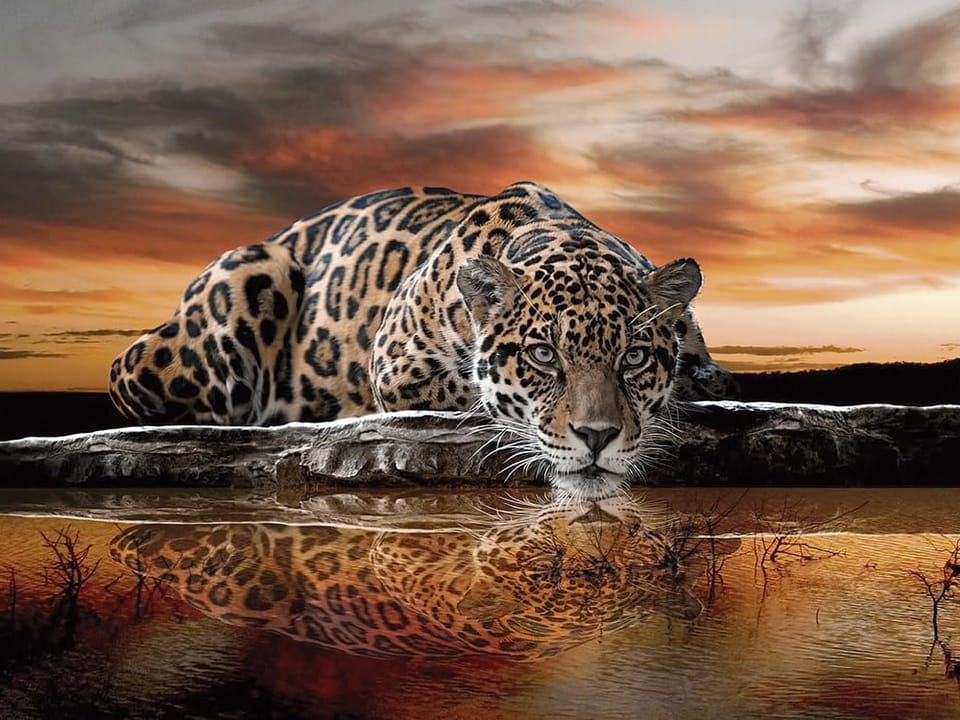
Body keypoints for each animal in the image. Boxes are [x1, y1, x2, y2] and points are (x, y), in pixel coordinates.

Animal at [109, 181, 738, 496]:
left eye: (633, 357)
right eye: (542, 355)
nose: (598, 437)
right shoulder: (396, 365)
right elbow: (476, 396)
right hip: (245, 279)